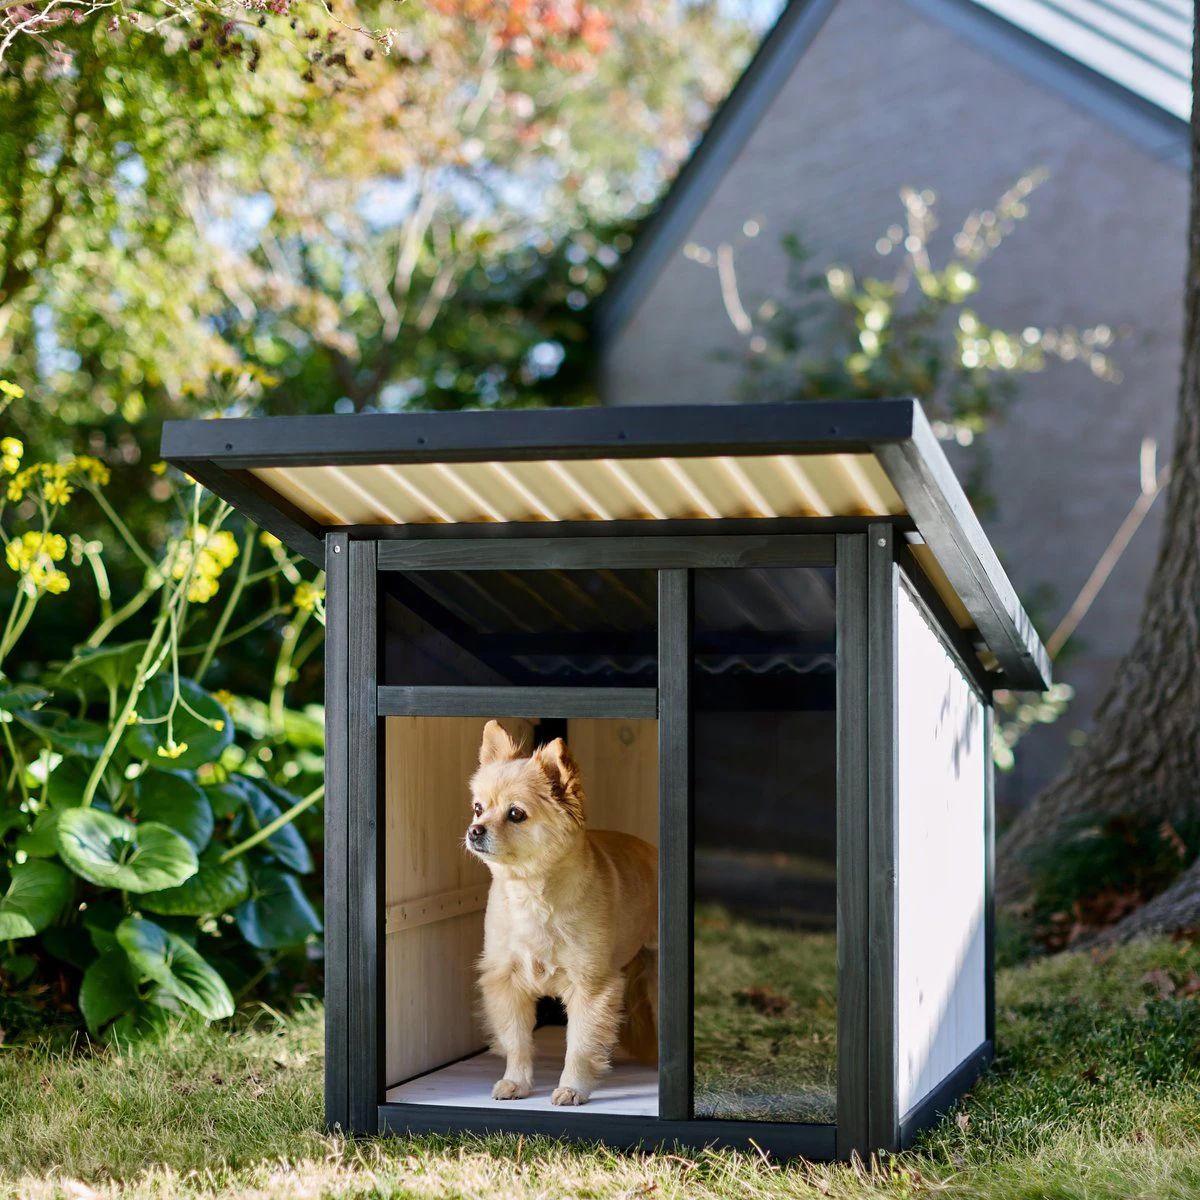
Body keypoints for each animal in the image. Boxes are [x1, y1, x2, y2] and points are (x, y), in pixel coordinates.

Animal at [465, 720, 657, 1104]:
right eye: (479, 808)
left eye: (515, 814)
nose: (474, 830)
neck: (532, 892)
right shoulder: (507, 982)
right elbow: (517, 1040)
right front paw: (517, 1081)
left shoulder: (591, 986)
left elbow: (580, 1045)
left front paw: (573, 1087)